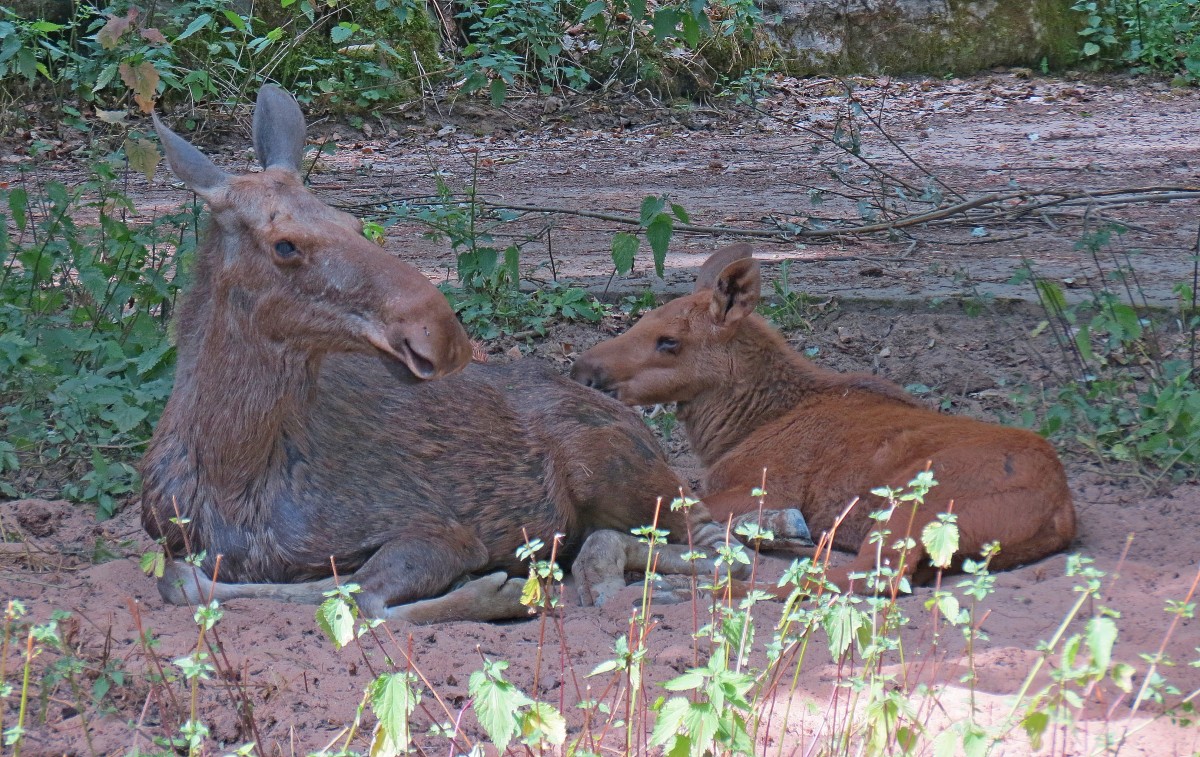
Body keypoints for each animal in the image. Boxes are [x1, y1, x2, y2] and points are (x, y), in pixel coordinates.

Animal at [140, 85, 739, 623]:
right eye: (285, 244)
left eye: (353, 223)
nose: (441, 332)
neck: (233, 476)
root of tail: (642, 429)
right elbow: (185, 583)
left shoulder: (441, 530)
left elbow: (360, 596)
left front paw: (495, 592)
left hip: (620, 474)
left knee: (724, 548)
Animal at [571, 245, 1080, 595]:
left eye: (669, 341)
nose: (583, 369)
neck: (732, 431)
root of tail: (1061, 513)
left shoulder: (766, 484)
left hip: (914, 507)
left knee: (866, 577)